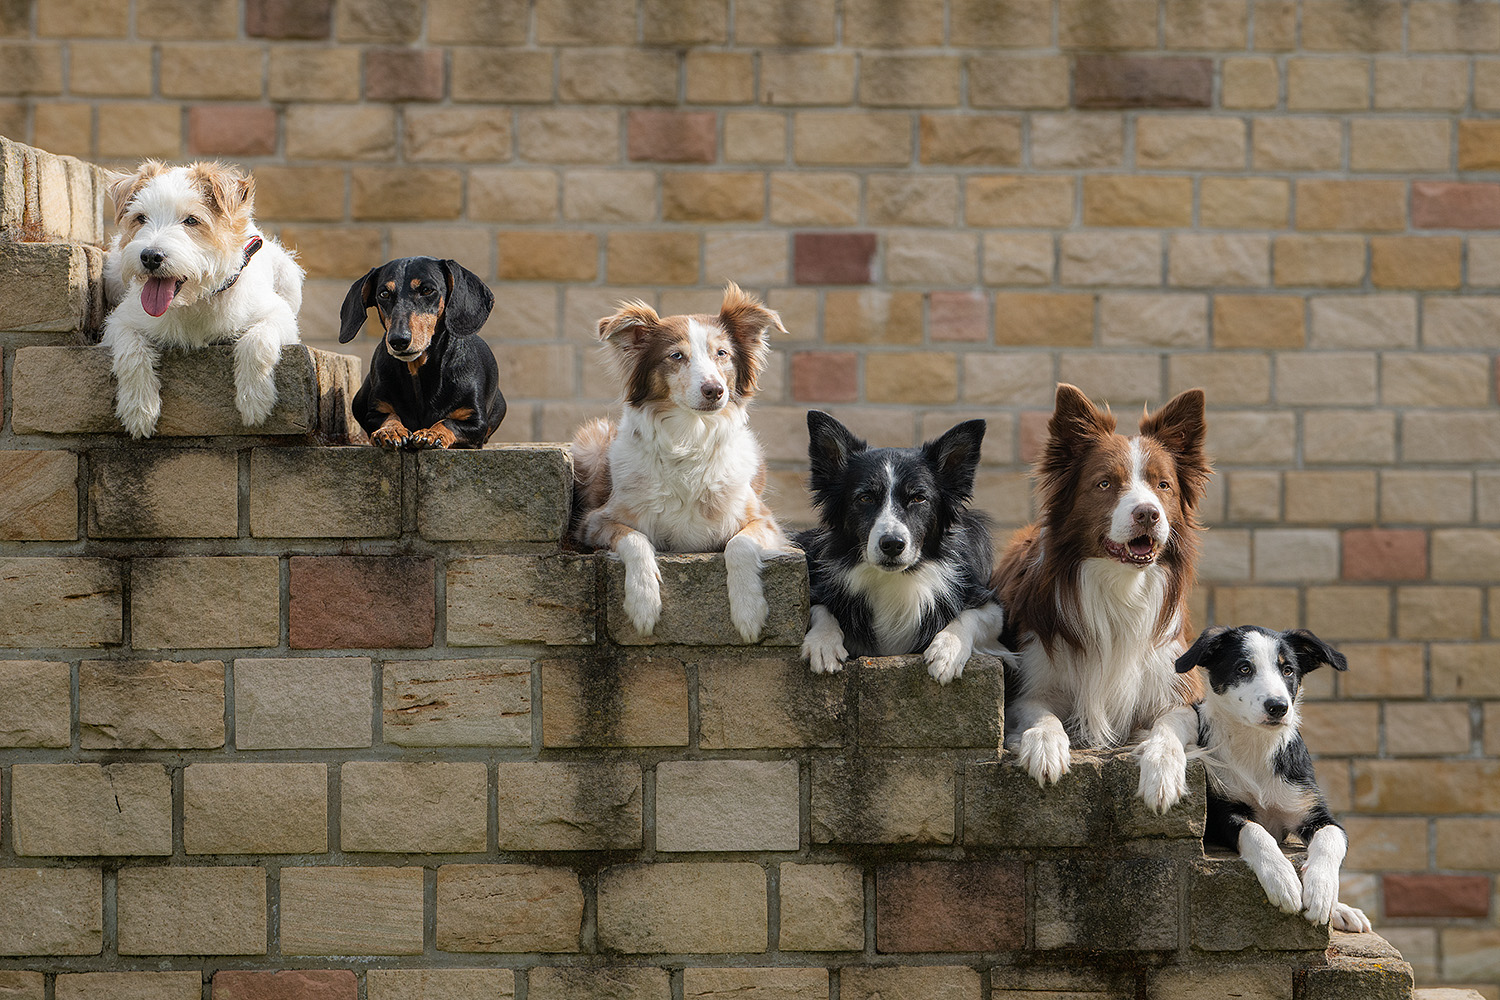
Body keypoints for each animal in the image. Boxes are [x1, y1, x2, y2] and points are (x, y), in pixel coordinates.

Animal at [798, 410, 1008, 683]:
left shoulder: (990, 604)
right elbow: (819, 607)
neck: (896, 578)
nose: (892, 545)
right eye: (865, 498)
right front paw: (823, 644)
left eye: (918, 498)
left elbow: (971, 615)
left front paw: (947, 651)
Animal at [1176, 629, 1374, 935]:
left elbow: (1331, 838)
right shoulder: (1221, 813)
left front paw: (1322, 890)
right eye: (1244, 668)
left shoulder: (1314, 812)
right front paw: (1282, 879)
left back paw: (1342, 909)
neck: (1258, 745)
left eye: (1288, 670)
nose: (1278, 707)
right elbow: (1256, 832)